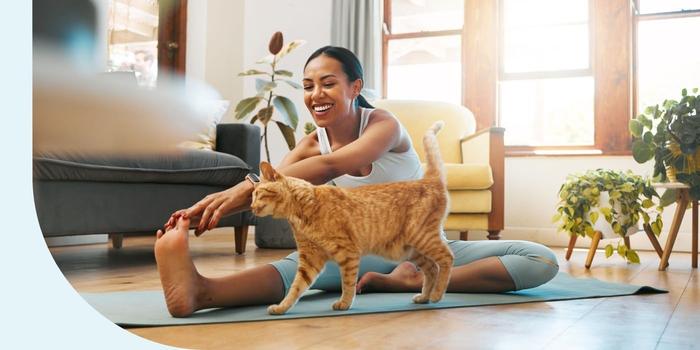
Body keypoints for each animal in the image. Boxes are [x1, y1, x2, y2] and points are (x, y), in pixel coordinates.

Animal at [253, 121, 454, 314]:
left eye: (257, 194)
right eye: (252, 196)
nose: (252, 208)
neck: (303, 209)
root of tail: (428, 180)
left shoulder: (347, 253)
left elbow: (347, 283)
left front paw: (344, 303)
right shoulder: (309, 260)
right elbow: (296, 288)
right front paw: (282, 307)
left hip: (422, 236)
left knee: (447, 258)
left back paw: (437, 295)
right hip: (410, 249)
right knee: (431, 268)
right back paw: (424, 297)